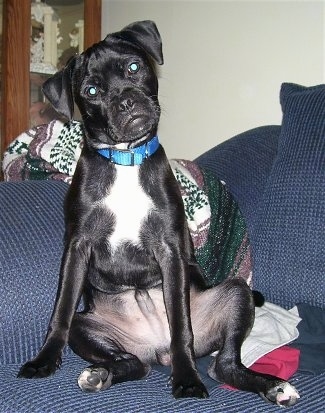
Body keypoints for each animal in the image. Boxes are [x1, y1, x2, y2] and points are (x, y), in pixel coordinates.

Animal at [18, 20, 298, 404]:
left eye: (134, 67)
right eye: (91, 90)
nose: (126, 101)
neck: (126, 160)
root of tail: (156, 347)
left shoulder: (170, 249)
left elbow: (181, 323)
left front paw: (187, 378)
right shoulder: (77, 246)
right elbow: (60, 310)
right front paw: (44, 360)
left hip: (237, 292)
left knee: (222, 364)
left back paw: (272, 385)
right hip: (87, 325)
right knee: (136, 364)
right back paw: (101, 373)